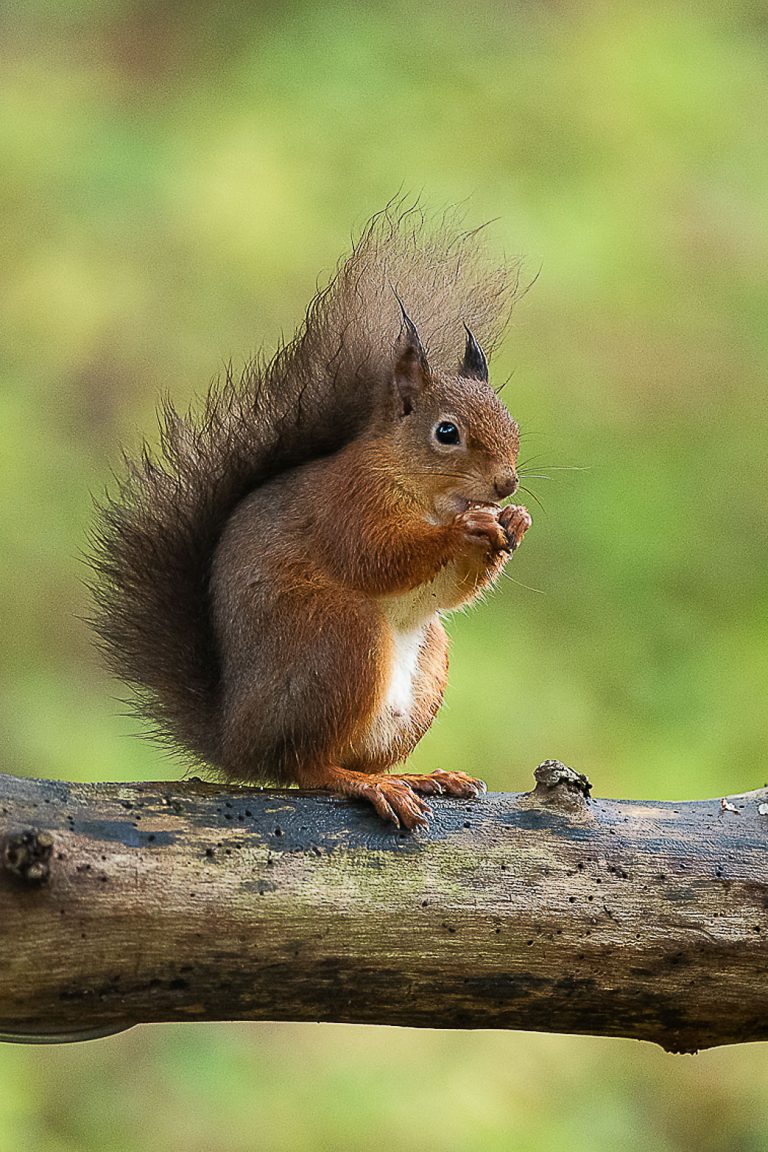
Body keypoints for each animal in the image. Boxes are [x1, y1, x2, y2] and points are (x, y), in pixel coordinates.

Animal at [90, 207, 531, 829]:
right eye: (447, 432)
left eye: (511, 422)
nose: (506, 483)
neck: (421, 491)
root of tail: (238, 741)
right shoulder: (347, 505)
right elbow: (378, 559)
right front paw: (466, 530)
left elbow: (448, 591)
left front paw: (512, 521)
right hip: (339, 639)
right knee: (309, 768)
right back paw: (368, 784)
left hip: (423, 669)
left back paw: (419, 776)